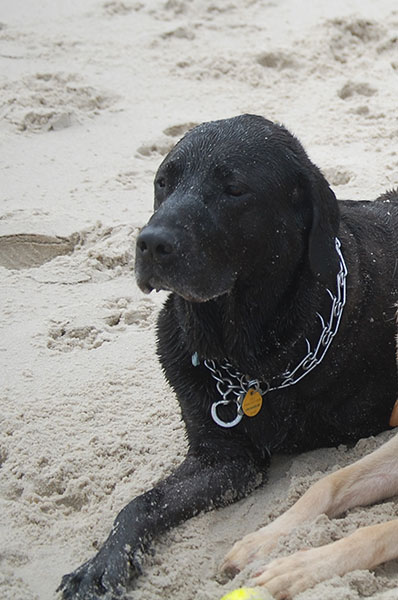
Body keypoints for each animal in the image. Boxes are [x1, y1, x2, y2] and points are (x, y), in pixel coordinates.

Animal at [58, 113, 398, 600]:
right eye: (163, 182)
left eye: (234, 189)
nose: (151, 243)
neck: (242, 358)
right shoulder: (221, 459)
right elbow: (141, 503)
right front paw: (102, 564)